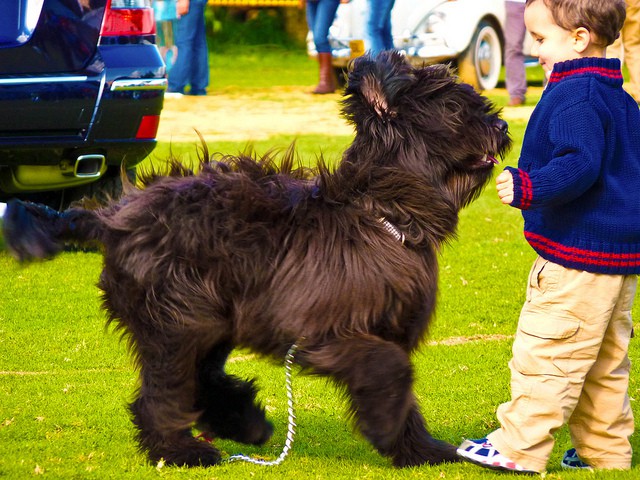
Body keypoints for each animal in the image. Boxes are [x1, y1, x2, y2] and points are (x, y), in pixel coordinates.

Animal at [1, 52, 510, 468]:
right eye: (455, 109)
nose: (504, 128)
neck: (381, 213)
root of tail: (111, 218)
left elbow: (401, 387)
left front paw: (421, 449)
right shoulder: (322, 330)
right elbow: (389, 368)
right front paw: (389, 433)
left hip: (208, 319)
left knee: (199, 377)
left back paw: (243, 423)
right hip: (180, 317)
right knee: (162, 391)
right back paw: (183, 450)